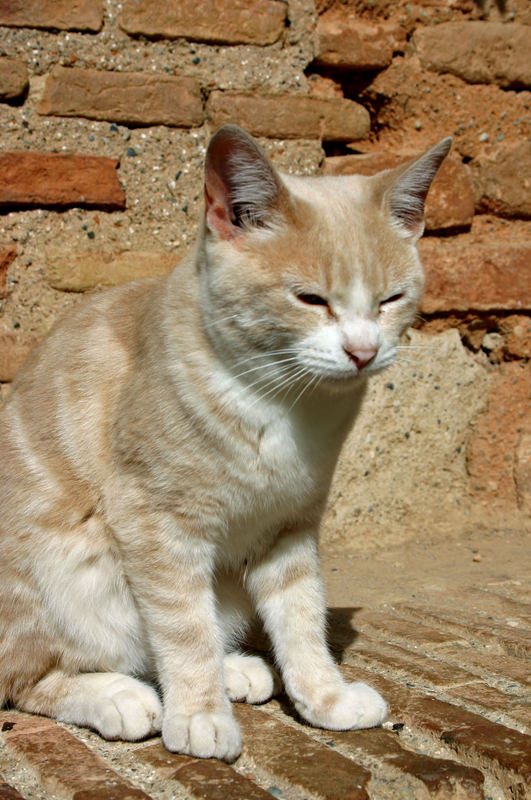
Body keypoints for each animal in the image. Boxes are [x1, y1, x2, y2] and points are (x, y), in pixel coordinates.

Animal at [0, 125, 450, 764]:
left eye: (391, 299)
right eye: (310, 299)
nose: (363, 352)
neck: (285, 404)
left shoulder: (290, 527)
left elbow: (302, 620)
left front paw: (326, 699)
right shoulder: (159, 525)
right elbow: (185, 628)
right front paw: (199, 714)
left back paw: (234, 668)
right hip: (55, 584)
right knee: (33, 678)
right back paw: (121, 696)